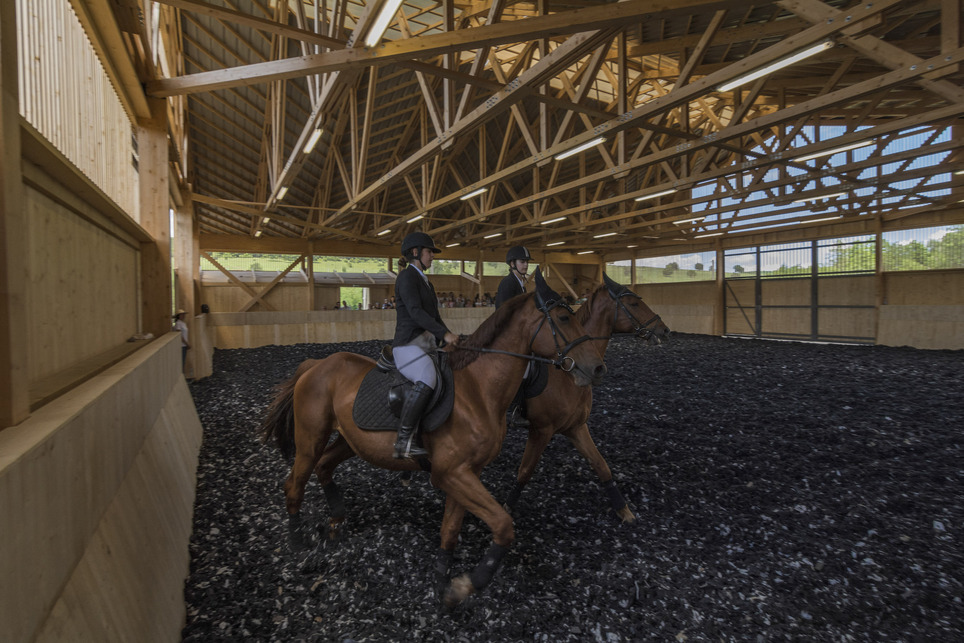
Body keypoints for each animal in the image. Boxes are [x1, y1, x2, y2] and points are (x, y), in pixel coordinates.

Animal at [260, 272, 608, 608]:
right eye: (563, 319)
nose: (596, 368)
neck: (478, 389)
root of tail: (316, 365)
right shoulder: (450, 473)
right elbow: (503, 525)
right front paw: (467, 585)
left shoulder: (466, 472)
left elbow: (450, 531)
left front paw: (442, 584)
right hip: (310, 438)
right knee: (295, 483)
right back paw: (298, 544)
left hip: (350, 441)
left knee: (324, 466)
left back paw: (336, 520)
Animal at [504, 276, 672, 524]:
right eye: (634, 304)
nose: (665, 330)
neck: (569, 373)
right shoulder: (541, 430)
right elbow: (525, 471)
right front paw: (506, 508)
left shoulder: (576, 426)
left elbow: (601, 465)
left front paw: (624, 510)